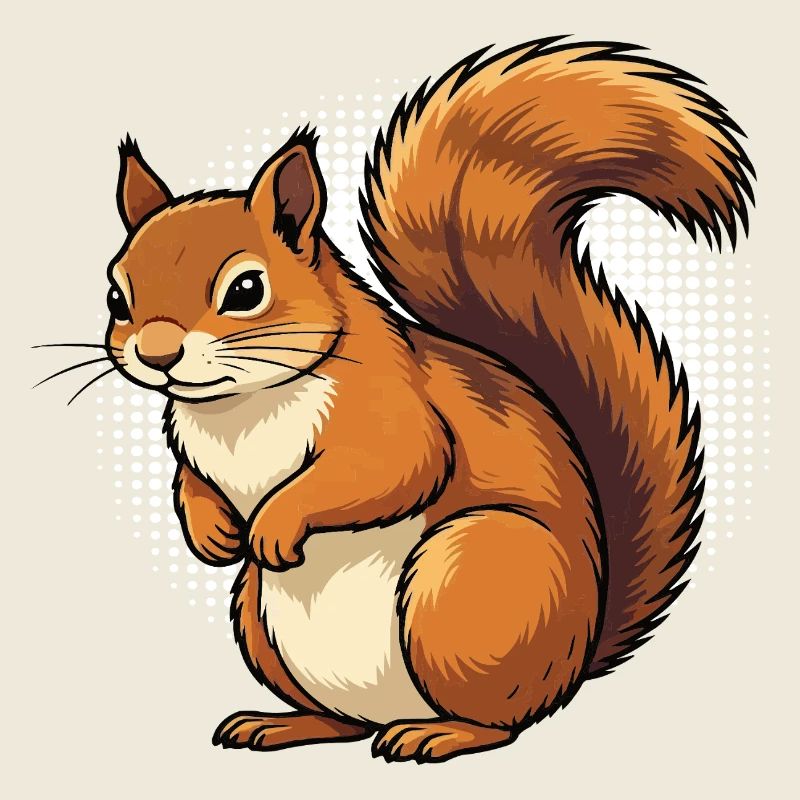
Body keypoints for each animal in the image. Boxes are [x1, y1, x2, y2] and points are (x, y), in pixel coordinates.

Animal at [106, 39, 753, 762]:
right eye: (116, 294)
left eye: (246, 289)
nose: (156, 354)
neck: (239, 406)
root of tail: (572, 664)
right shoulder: (192, 448)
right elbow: (190, 482)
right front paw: (212, 532)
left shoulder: (393, 407)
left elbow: (394, 466)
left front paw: (274, 521)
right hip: (258, 616)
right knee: (342, 721)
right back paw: (282, 724)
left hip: (466, 577)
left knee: (501, 723)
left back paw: (437, 734)